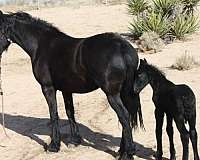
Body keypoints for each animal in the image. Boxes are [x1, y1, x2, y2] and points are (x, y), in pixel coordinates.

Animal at [0, 10, 143, 159]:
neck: (41, 45)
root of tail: (122, 47)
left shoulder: (48, 88)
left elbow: (54, 114)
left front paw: (54, 145)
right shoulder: (66, 89)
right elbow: (70, 112)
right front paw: (75, 140)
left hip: (112, 94)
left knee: (124, 117)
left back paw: (128, 153)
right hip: (122, 92)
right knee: (127, 116)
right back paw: (122, 150)